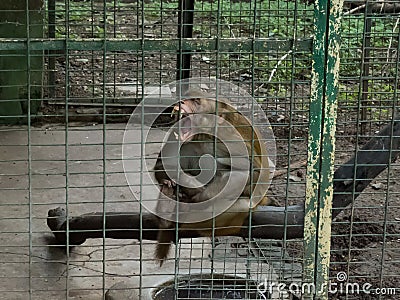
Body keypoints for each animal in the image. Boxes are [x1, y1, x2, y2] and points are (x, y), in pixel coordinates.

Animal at [153, 91, 272, 264]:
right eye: (185, 96)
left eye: (195, 101)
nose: (181, 102)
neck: (203, 135)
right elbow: (163, 165)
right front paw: (190, 187)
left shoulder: (230, 137)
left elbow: (252, 173)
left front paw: (201, 195)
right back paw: (168, 210)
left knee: (242, 203)